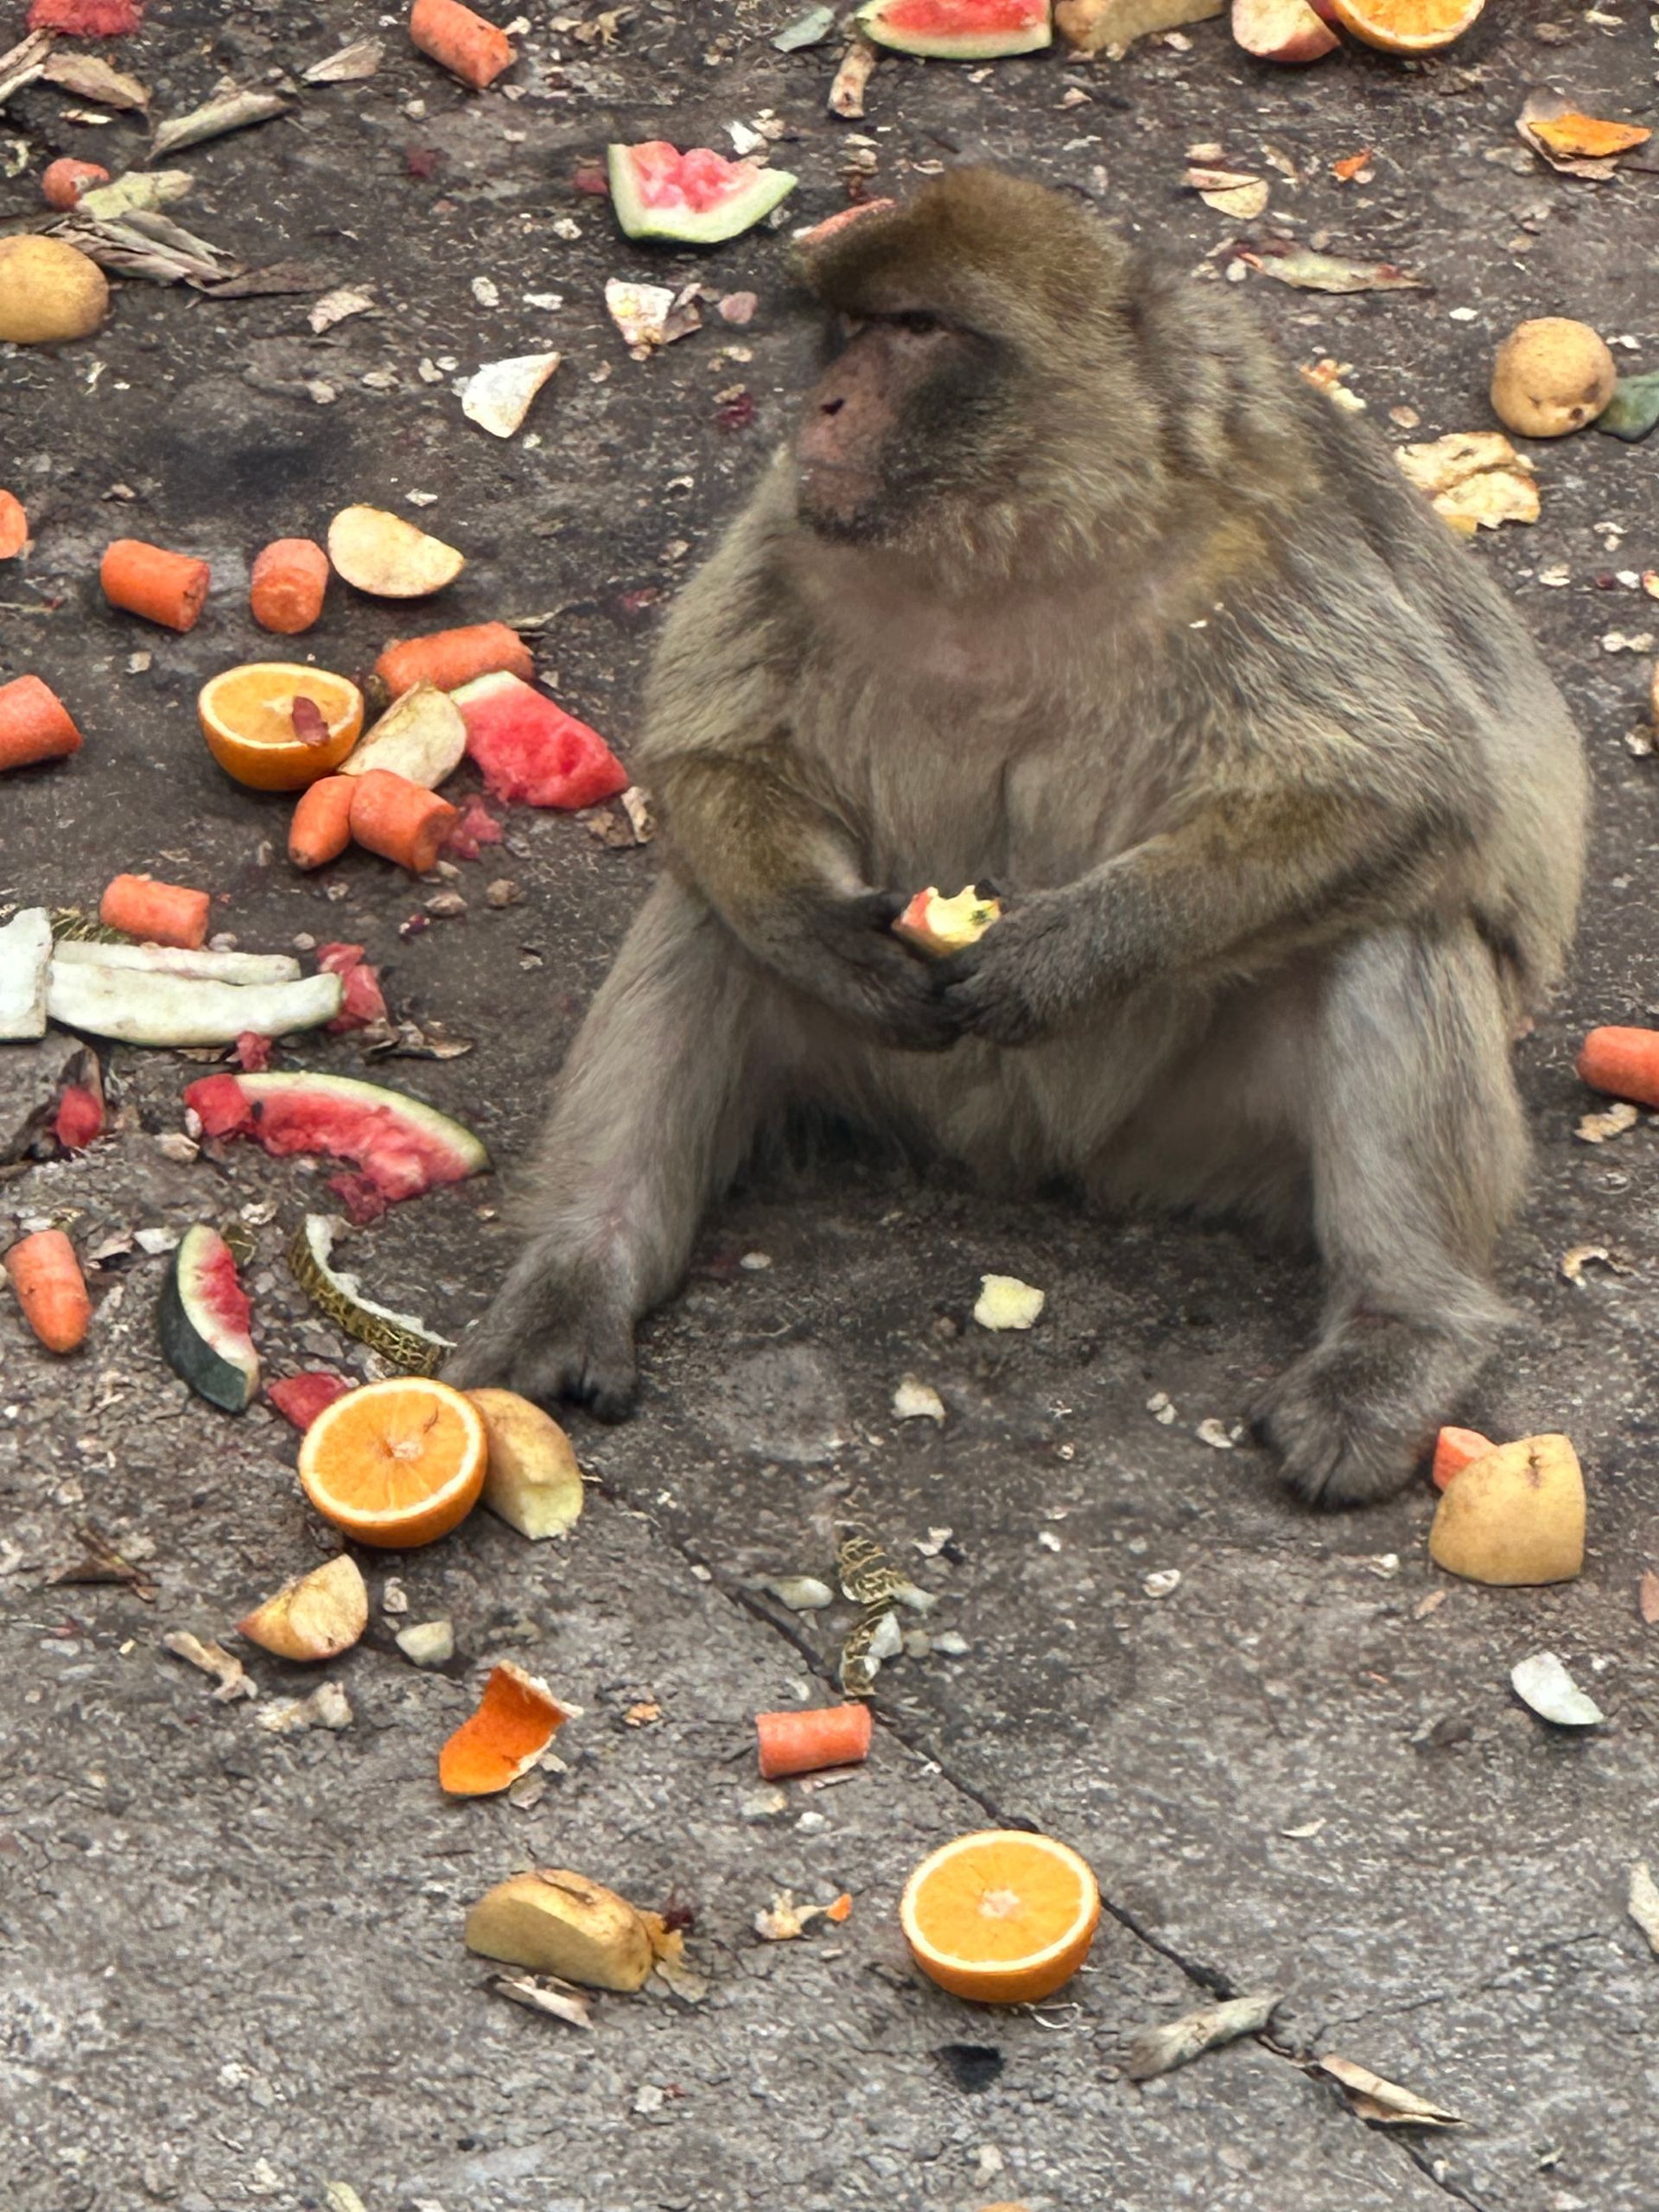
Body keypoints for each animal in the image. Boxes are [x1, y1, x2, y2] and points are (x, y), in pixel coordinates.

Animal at [444, 168, 1587, 1509]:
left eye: (915, 329)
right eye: (845, 329)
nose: (823, 402)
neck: (1017, 528)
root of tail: (1031, 1155)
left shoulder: (1260, 544)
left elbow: (1410, 792)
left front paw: (1065, 954)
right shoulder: (793, 518)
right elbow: (711, 753)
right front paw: (832, 943)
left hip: (1193, 1131)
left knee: (1393, 925)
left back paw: (1403, 1333)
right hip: (916, 1084)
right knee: (710, 910)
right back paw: (582, 1274)